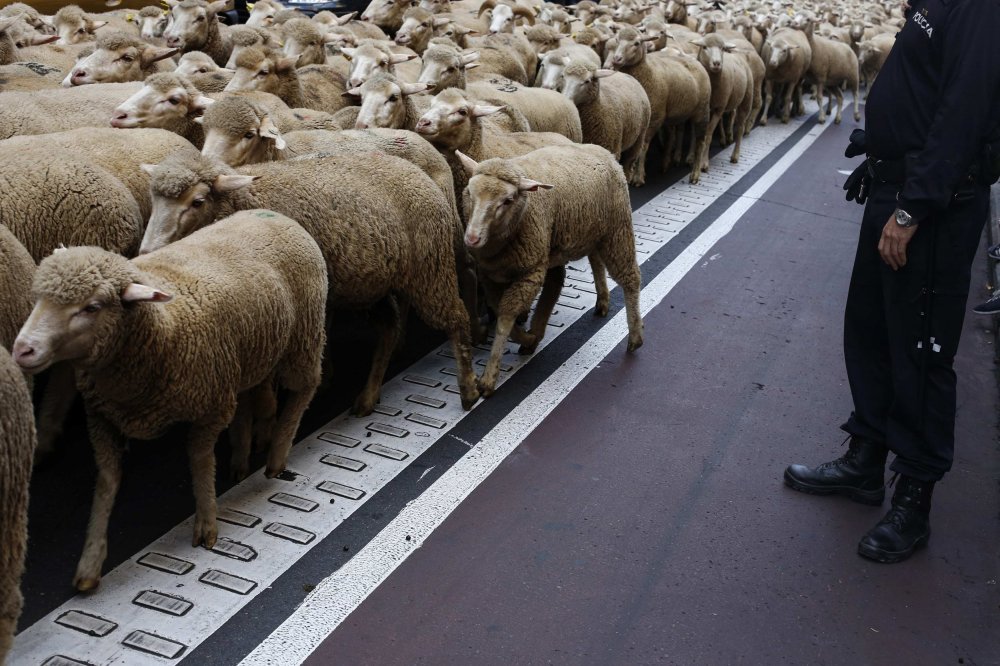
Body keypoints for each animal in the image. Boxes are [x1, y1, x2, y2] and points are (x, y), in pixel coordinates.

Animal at [13, 208, 328, 588]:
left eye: (92, 306)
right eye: (38, 297)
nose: (22, 349)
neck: (161, 326)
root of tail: (278, 216)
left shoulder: (212, 407)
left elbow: (199, 460)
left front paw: (207, 523)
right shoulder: (102, 418)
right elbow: (107, 483)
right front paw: (90, 562)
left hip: (304, 339)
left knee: (305, 389)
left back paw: (278, 455)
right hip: (252, 352)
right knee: (252, 397)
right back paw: (242, 456)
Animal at [142, 150, 484, 412]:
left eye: (197, 201)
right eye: (154, 201)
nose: (146, 251)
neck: (248, 198)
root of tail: (418, 173)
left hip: (429, 268)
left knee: (455, 318)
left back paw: (468, 388)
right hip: (368, 284)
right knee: (389, 328)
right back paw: (368, 397)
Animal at [458, 147, 644, 394]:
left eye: (507, 200)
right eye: (469, 192)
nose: (472, 238)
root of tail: (604, 152)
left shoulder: (531, 270)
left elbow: (506, 316)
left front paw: (489, 377)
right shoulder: (491, 275)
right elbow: (500, 310)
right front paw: (529, 338)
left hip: (617, 229)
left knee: (631, 278)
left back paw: (635, 336)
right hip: (591, 232)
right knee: (591, 263)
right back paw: (602, 300)